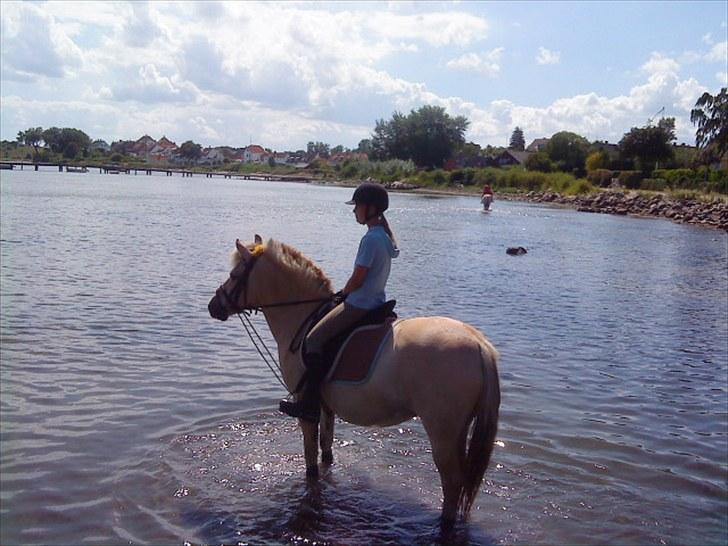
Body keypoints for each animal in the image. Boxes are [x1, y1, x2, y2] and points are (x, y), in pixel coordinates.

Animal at [208, 234, 498, 524]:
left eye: (234, 275)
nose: (213, 306)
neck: (303, 317)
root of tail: (479, 344)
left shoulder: (306, 407)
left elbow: (310, 461)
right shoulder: (325, 407)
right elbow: (326, 451)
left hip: (442, 430)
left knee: (452, 482)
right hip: (459, 429)